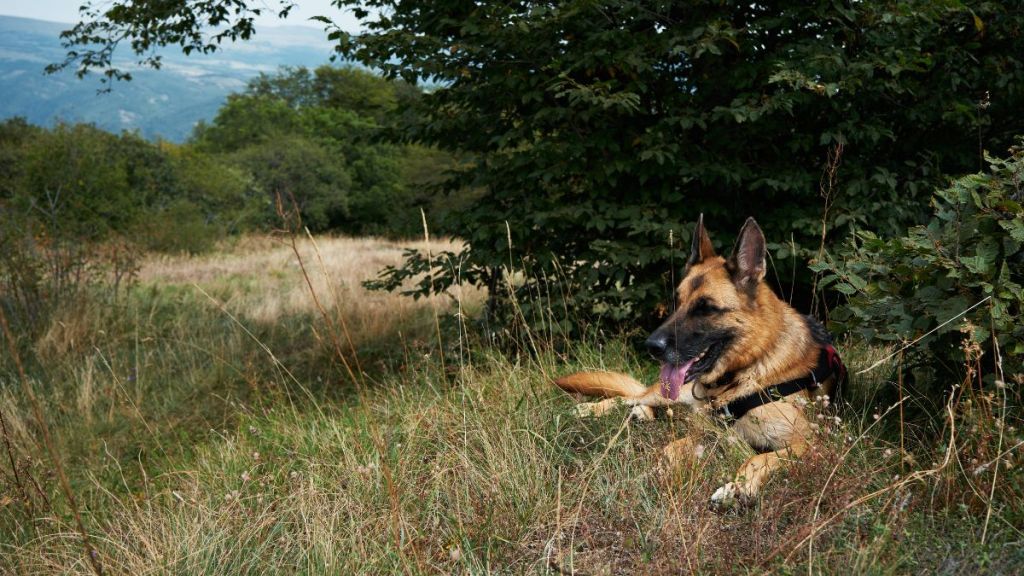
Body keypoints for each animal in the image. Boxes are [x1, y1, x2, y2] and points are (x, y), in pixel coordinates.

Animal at [557, 214, 843, 502]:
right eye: (677, 302)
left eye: (706, 308)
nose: (651, 346)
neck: (747, 368)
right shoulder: (707, 431)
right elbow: (671, 448)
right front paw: (658, 471)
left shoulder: (811, 442)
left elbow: (760, 459)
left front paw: (737, 487)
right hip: (670, 393)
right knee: (630, 397)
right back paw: (591, 409)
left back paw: (641, 414)